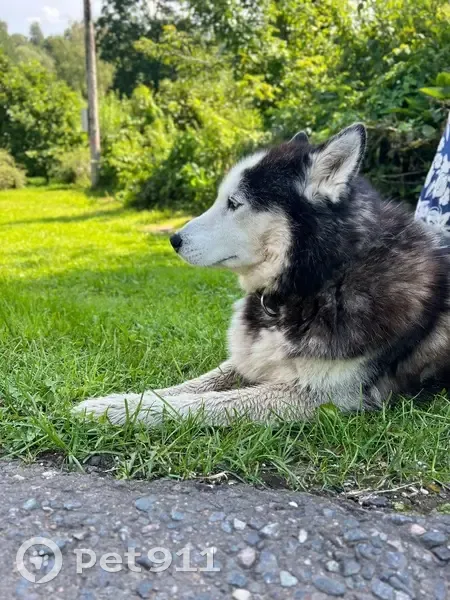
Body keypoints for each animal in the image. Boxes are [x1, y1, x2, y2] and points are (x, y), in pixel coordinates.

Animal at [73, 123, 450, 425]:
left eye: (234, 203)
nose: (174, 240)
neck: (321, 279)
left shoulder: (323, 397)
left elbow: (207, 404)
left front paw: (121, 411)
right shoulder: (247, 359)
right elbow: (193, 386)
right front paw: (121, 400)